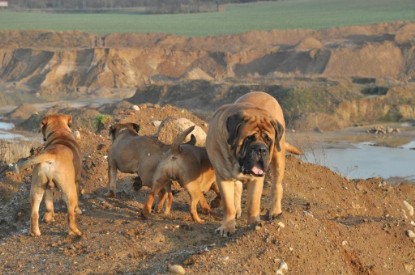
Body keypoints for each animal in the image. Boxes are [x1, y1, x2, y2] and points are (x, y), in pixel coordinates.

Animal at [206, 91, 300, 237]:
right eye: (249, 138)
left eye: (268, 139)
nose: (261, 149)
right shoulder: (223, 178)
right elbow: (228, 205)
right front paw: (227, 227)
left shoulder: (257, 179)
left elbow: (253, 203)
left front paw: (254, 224)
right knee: (238, 188)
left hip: (278, 158)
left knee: (276, 187)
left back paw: (275, 212)